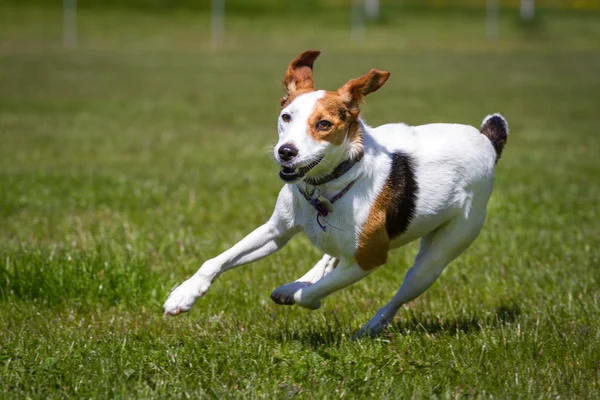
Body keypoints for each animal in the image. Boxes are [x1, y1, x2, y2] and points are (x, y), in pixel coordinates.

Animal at [162, 50, 508, 338]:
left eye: (324, 125)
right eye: (286, 117)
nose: (286, 152)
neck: (326, 186)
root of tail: (487, 140)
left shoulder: (369, 259)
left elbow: (311, 295)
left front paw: (302, 294)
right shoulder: (276, 231)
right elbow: (217, 260)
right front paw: (184, 294)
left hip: (437, 256)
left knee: (399, 294)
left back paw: (368, 327)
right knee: (331, 255)